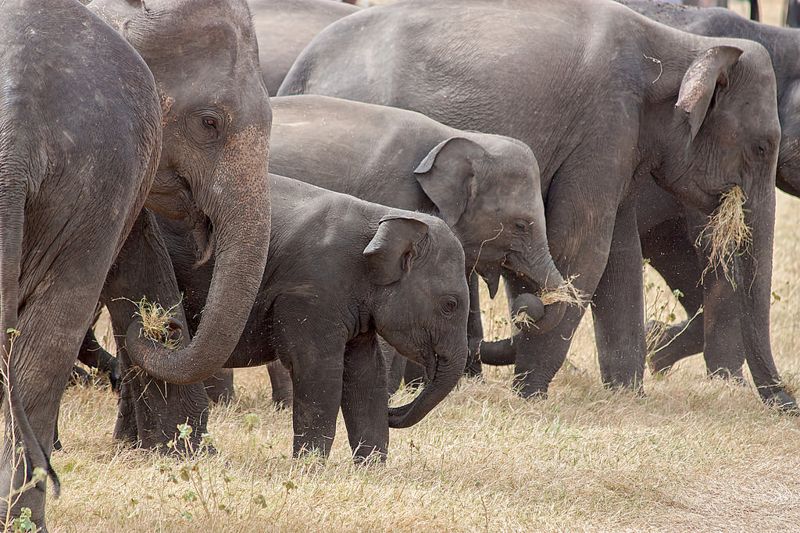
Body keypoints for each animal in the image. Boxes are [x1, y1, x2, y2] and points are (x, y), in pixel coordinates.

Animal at [124, 174, 470, 461]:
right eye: (450, 305)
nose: (394, 409)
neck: (379, 217)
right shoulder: (312, 291)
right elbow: (319, 370)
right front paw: (310, 467)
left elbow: (366, 373)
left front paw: (372, 469)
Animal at [279, 0, 796, 409]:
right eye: (761, 147)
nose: (786, 403)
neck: (680, 45)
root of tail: (296, 75)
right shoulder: (603, 124)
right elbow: (584, 246)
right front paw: (531, 395)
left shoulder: (623, 142)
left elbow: (619, 253)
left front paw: (626, 395)